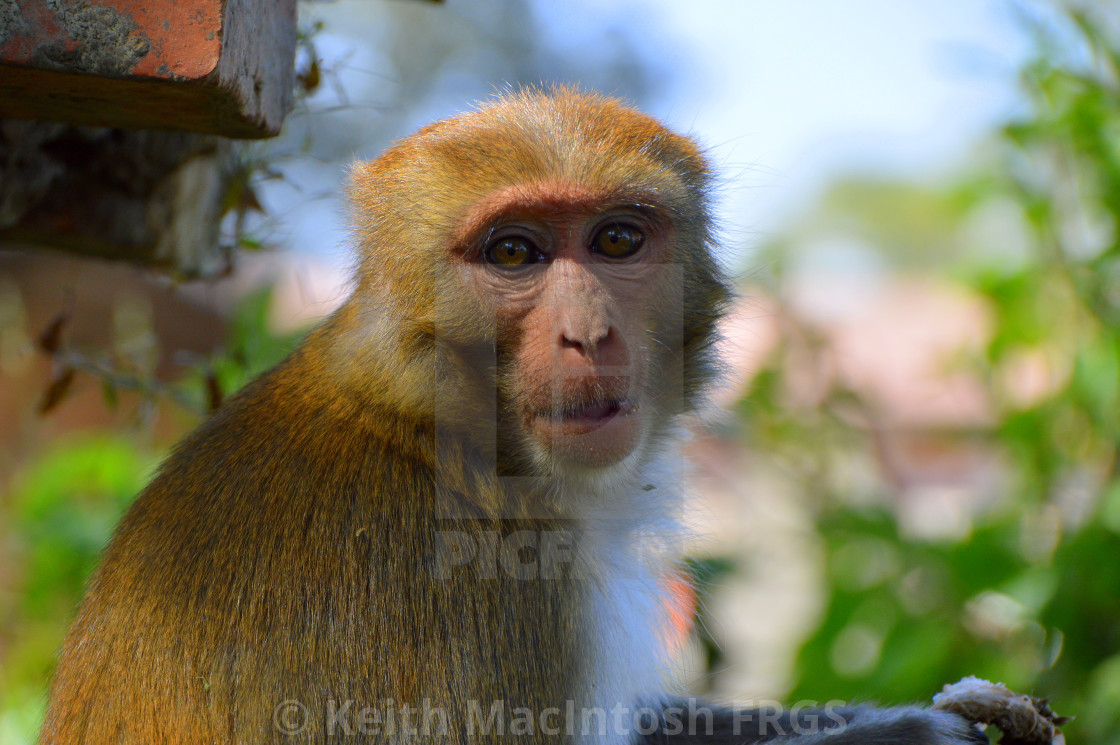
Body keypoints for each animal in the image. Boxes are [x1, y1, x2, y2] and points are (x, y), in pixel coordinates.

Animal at [39, 88, 985, 743]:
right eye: (514, 253)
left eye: (616, 239)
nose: (588, 332)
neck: (431, 434)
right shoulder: (470, 600)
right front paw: (906, 735)